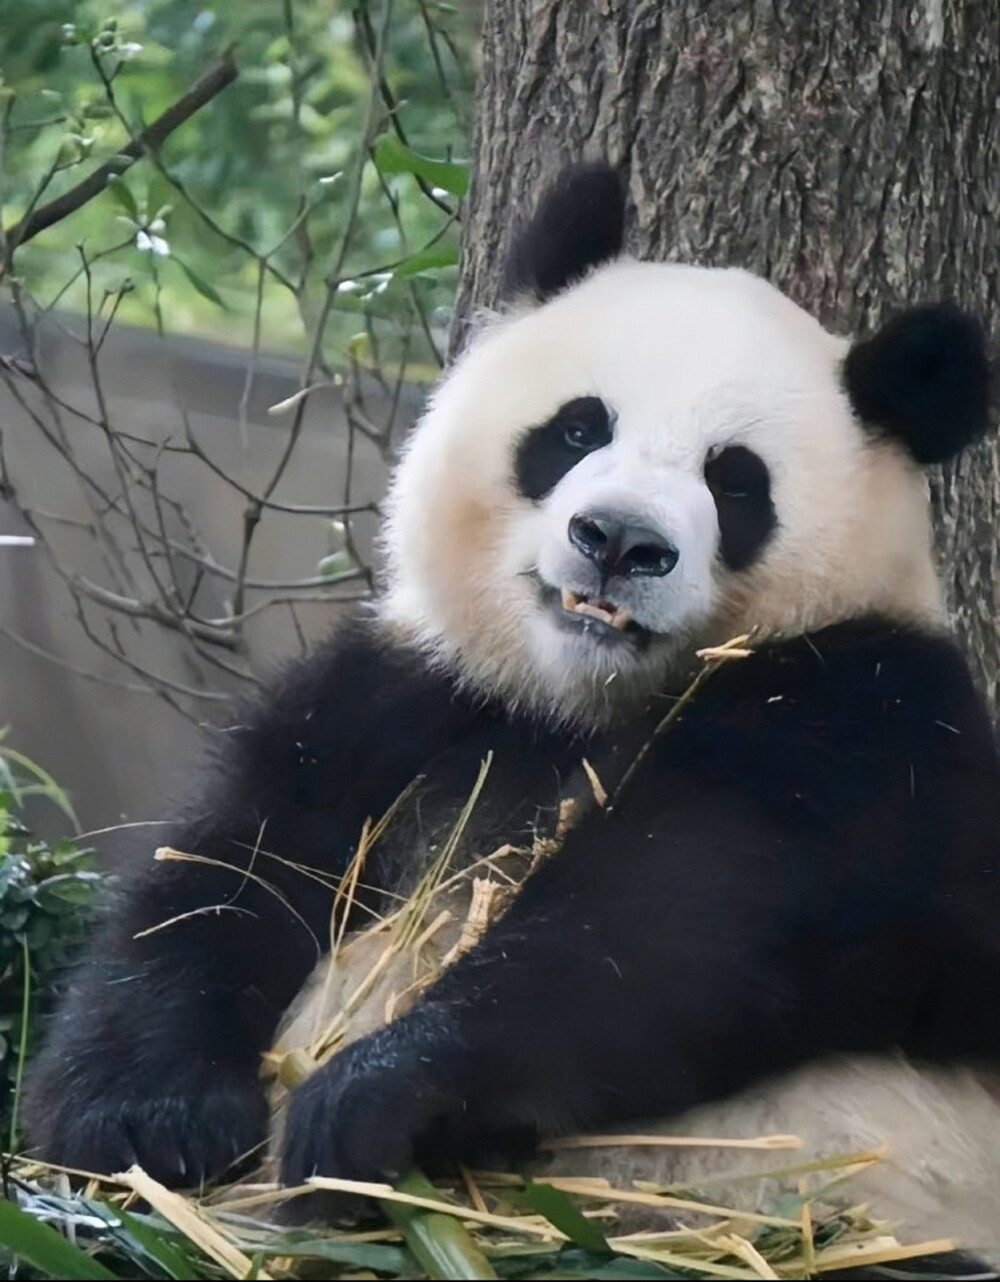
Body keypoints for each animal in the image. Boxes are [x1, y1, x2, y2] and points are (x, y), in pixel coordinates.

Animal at [23, 165, 1000, 1266]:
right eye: (577, 428)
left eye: (735, 480)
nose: (617, 539)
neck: (577, 701)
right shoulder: (409, 695)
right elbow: (225, 871)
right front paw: (148, 1123)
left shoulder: (873, 724)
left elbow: (677, 917)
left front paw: (370, 1099)